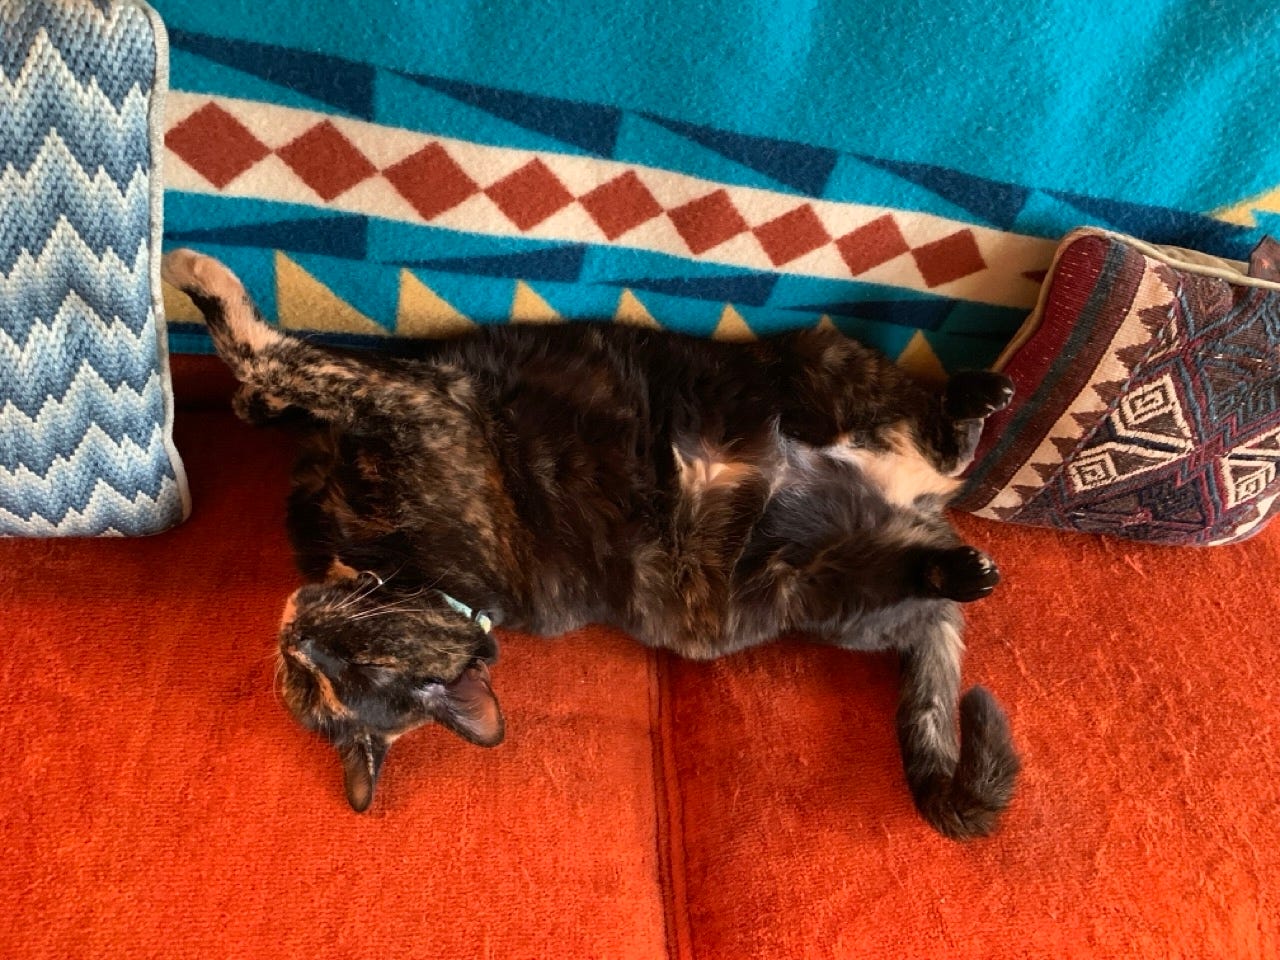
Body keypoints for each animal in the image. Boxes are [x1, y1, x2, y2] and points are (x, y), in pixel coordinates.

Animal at [163, 248, 1020, 839]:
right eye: (313, 681)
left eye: (356, 666)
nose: (299, 638)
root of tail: (921, 515)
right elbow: (266, 381)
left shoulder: (415, 397)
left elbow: (267, 372)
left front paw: (194, 274)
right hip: (817, 582)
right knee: (930, 518)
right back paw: (960, 567)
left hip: (822, 366)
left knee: (942, 445)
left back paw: (980, 395)